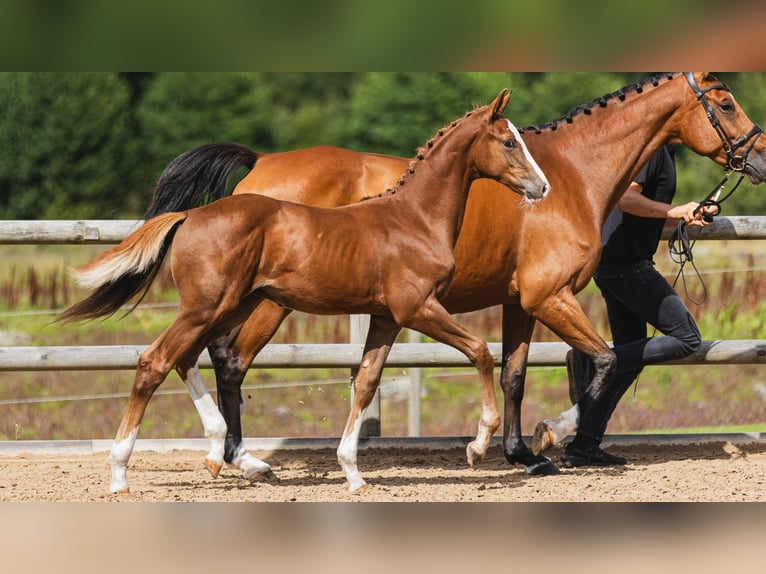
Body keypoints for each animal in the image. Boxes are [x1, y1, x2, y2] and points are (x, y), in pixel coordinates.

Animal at [59, 90, 550, 493]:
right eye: (509, 142)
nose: (541, 186)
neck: (414, 218)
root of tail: (190, 215)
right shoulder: (418, 308)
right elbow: (481, 352)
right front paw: (477, 445)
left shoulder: (386, 318)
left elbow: (365, 383)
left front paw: (352, 472)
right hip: (208, 307)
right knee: (155, 361)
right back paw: (121, 474)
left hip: (229, 306)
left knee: (187, 358)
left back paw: (220, 454)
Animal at [143, 72, 766, 482]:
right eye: (726, 103)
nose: (759, 156)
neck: (570, 177)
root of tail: (260, 166)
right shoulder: (549, 296)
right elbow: (607, 359)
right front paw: (551, 433)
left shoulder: (519, 303)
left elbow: (515, 374)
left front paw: (522, 453)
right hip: (269, 301)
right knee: (228, 360)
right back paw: (241, 458)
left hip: (251, 297)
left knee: (213, 356)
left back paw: (236, 456)